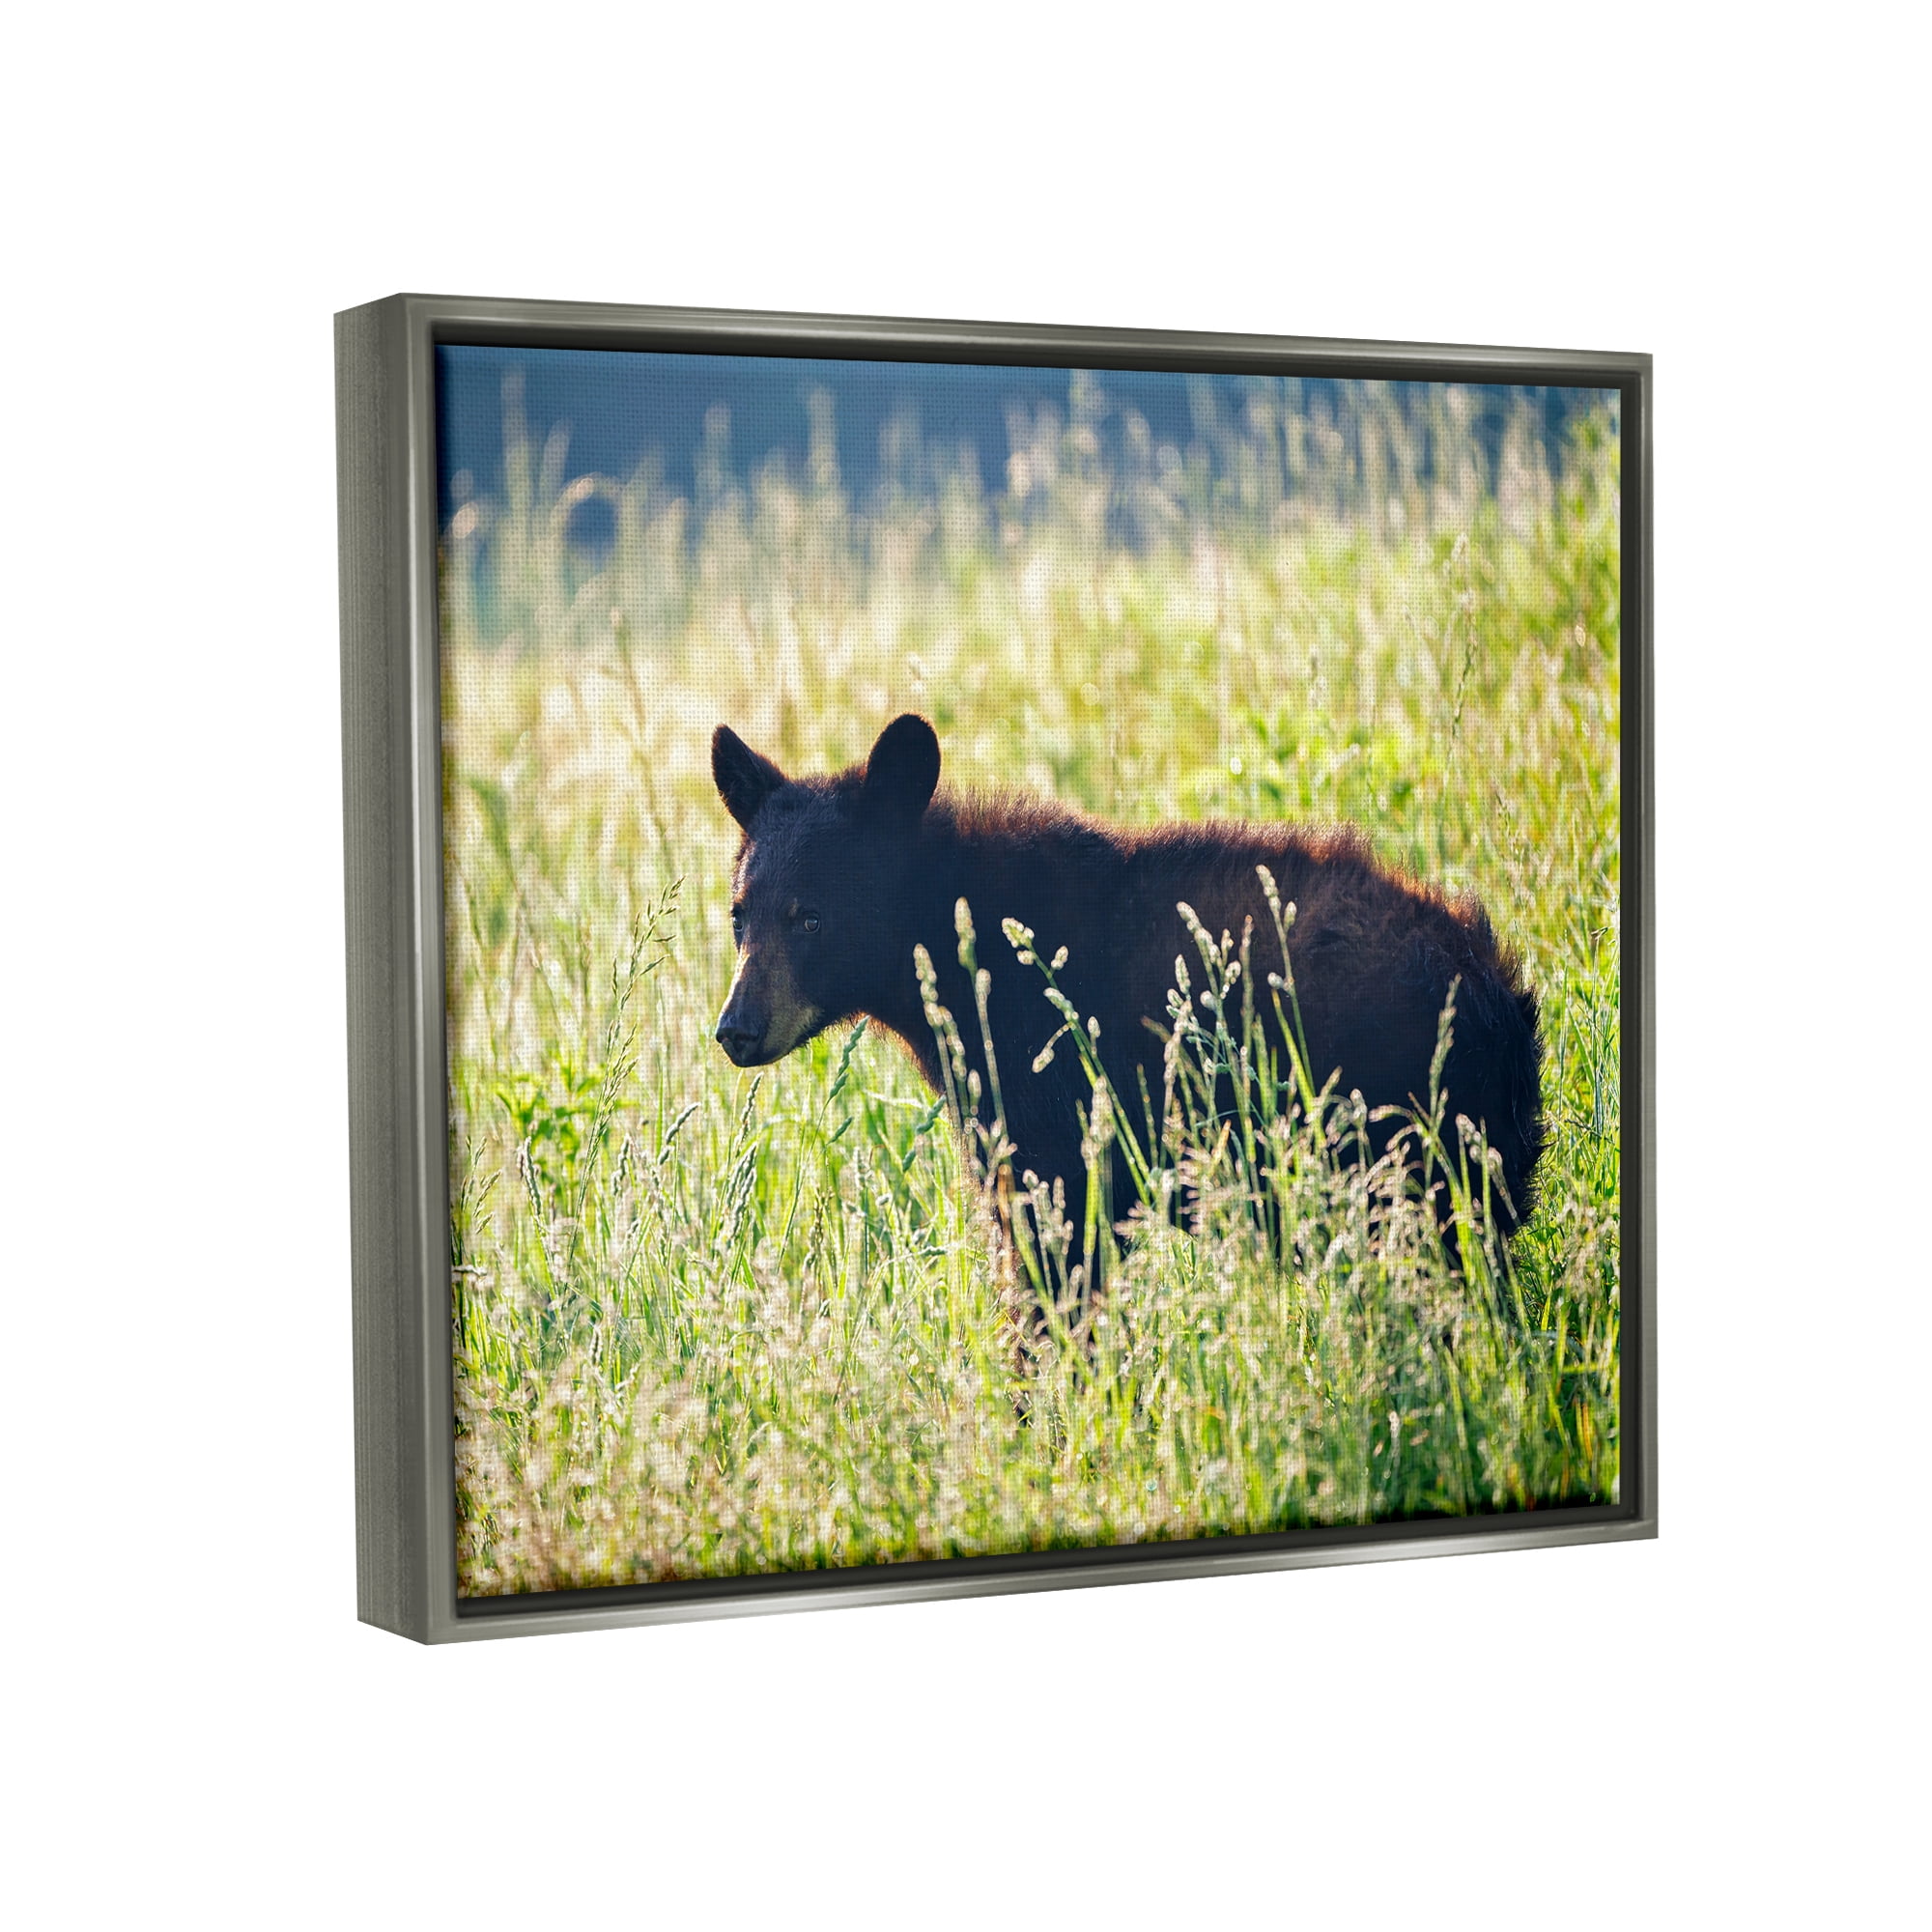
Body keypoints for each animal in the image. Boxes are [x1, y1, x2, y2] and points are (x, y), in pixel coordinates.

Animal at [710, 712, 1544, 1278]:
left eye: (812, 916)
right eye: (739, 914)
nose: (736, 1029)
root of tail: (1494, 994)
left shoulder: (1057, 1117)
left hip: (1395, 1143)